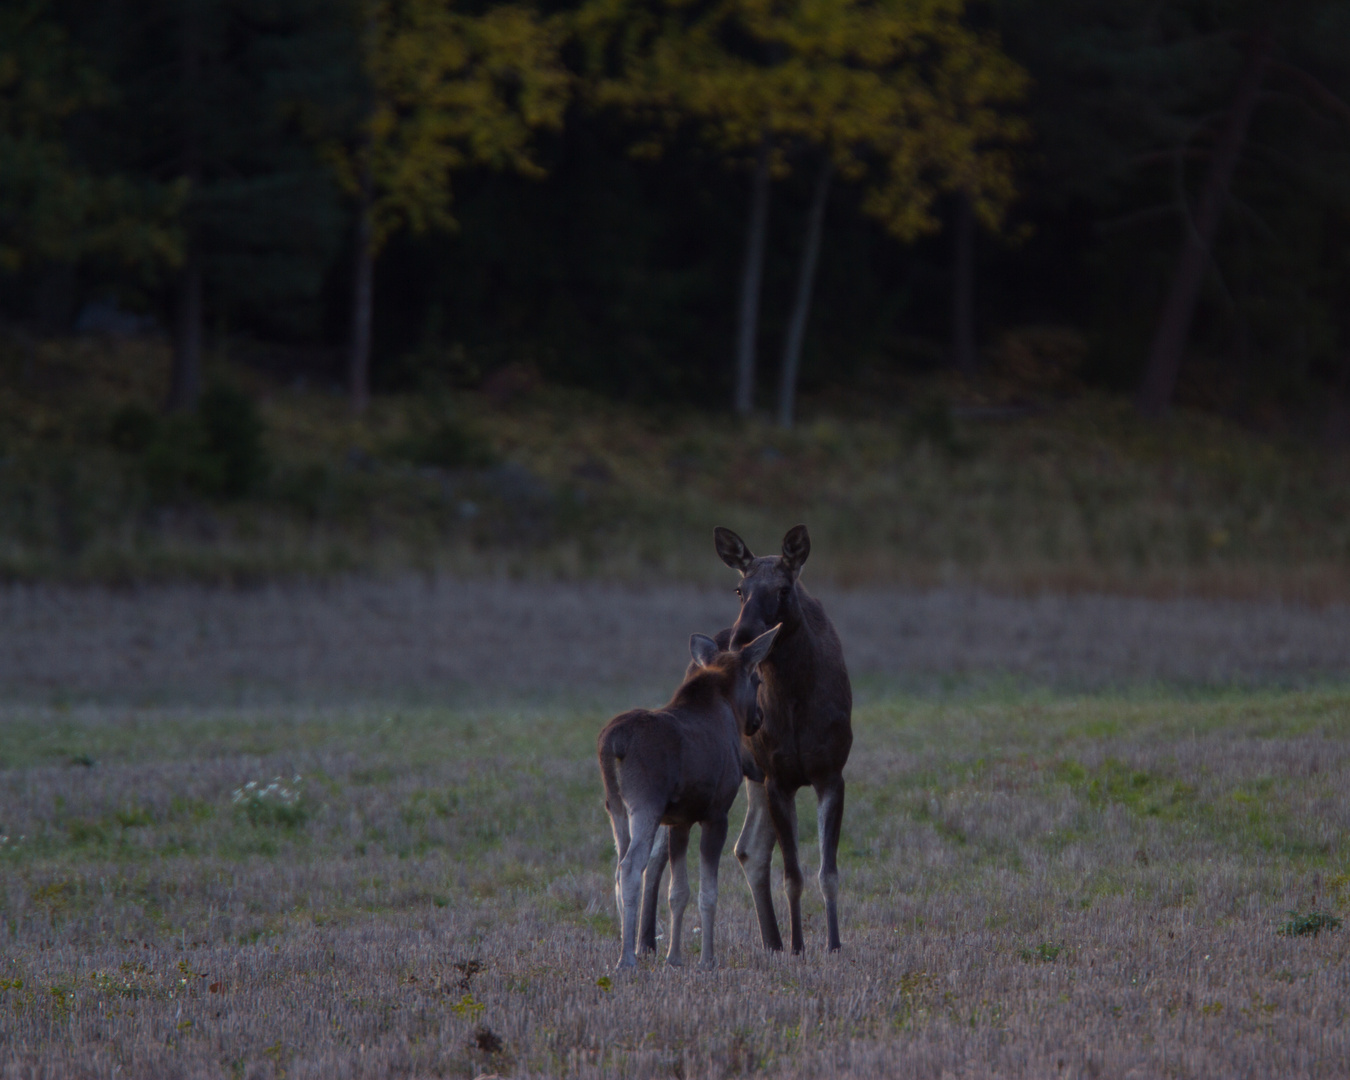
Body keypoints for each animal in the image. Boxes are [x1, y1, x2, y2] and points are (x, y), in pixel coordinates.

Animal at [594, 623, 777, 972]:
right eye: (758, 680)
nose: (760, 717)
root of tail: (613, 743)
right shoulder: (716, 814)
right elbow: (709, 892)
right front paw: (707, 959)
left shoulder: (679, 821)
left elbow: (677, 892)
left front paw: (675, 957)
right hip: (645, 805)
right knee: (631, 867)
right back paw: (627, 958)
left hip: (616, 809)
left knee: (618, 869)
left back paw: (627, 947)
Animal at [718, 526, 853, 955]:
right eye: (739, 589)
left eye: (782, 589)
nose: (743, 637)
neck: (796, 701)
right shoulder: (779, 777)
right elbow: (792, 875)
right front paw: (798, 946)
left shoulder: (830, 772)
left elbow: (828, 872)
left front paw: (833, 945)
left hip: (755, 777)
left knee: (749, 848)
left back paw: (771, 941)